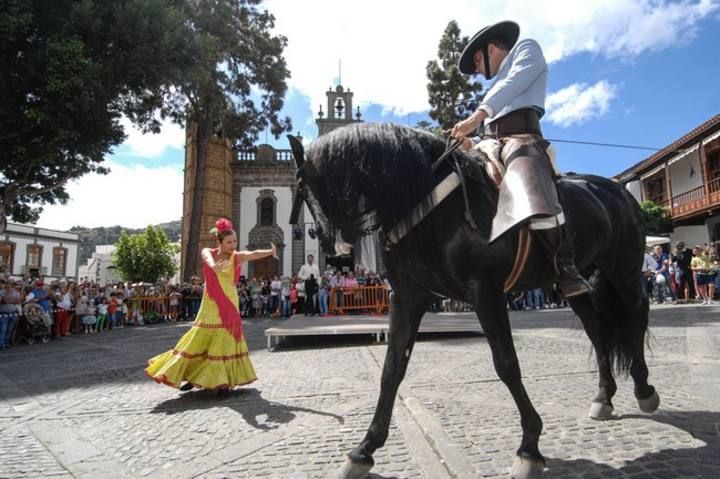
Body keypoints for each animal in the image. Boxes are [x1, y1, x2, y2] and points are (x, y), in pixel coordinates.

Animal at [286, 122, 660, 478]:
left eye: (301, 187)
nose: (331, 250)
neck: (429, 203)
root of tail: (617, 190)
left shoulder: (486, 292)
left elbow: (506, 364)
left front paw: (529, 446)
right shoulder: (408, 297)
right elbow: (392, 369)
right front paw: (364, 450)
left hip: (624, 270)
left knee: (636, 316)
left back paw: (644, 389)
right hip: (576, 282)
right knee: (598, 331)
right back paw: (604, 396)